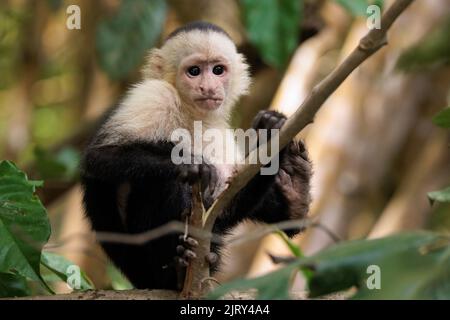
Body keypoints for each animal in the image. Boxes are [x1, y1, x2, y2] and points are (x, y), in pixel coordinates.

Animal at [81, 21, 312, 290]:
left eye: (218, 70)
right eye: (194, 71)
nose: (208, 87)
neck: (189, 112)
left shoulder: (220, 131)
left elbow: (223, 206)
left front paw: (269, 133)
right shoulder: (155, 97)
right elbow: (99, 157)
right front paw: (190, 164)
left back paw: (296, 196)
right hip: (146, 271)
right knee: (162, 180)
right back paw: (176, 268)